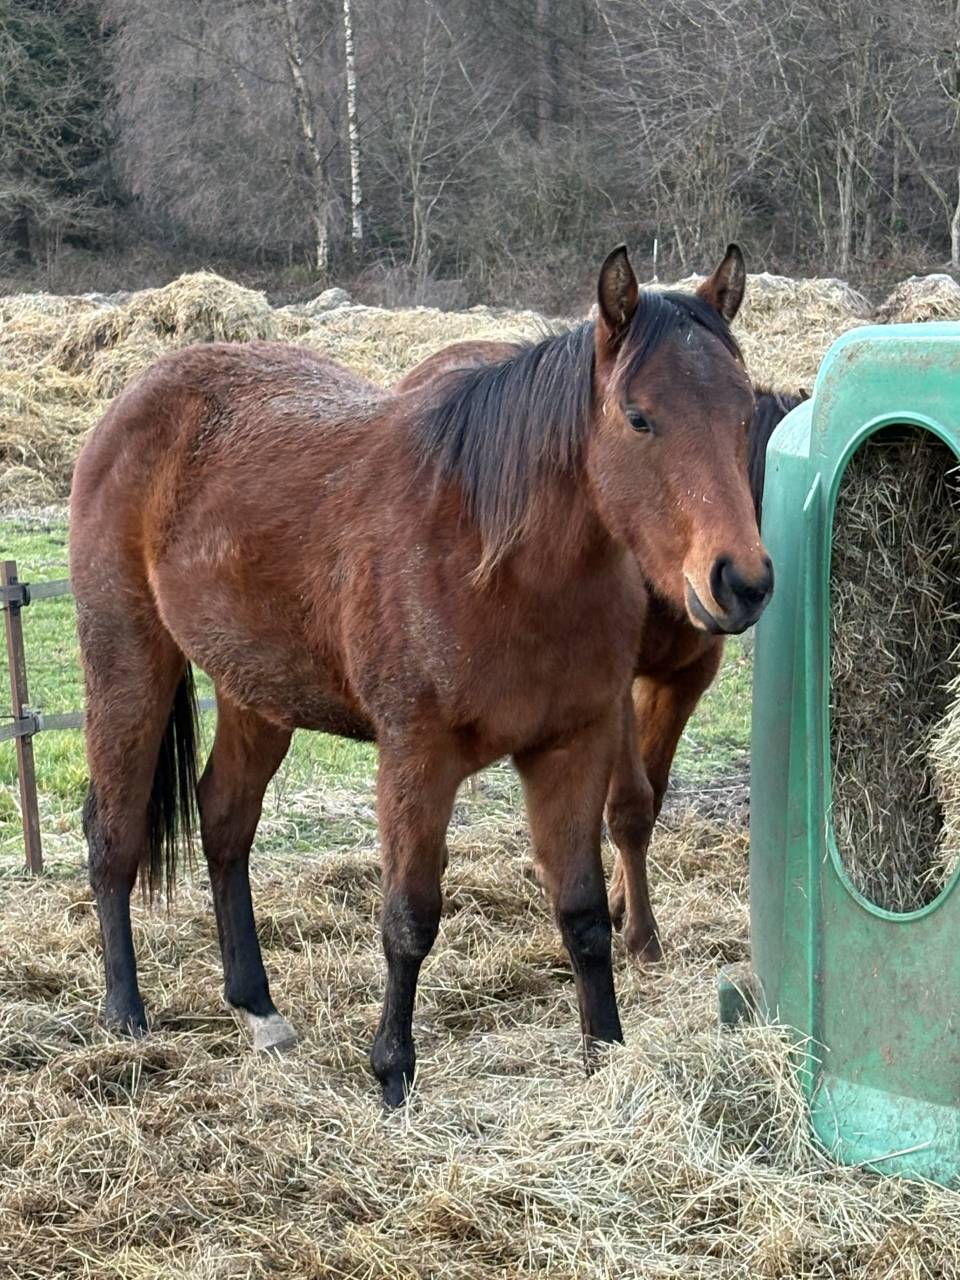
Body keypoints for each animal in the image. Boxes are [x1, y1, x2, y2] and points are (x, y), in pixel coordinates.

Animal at [395, 348, 805, 956]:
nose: (743, 586)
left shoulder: (683, 679)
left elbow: (649, 797)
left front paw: (617, 902)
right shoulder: (613, 688)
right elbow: (629, 805)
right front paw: (640, 935)